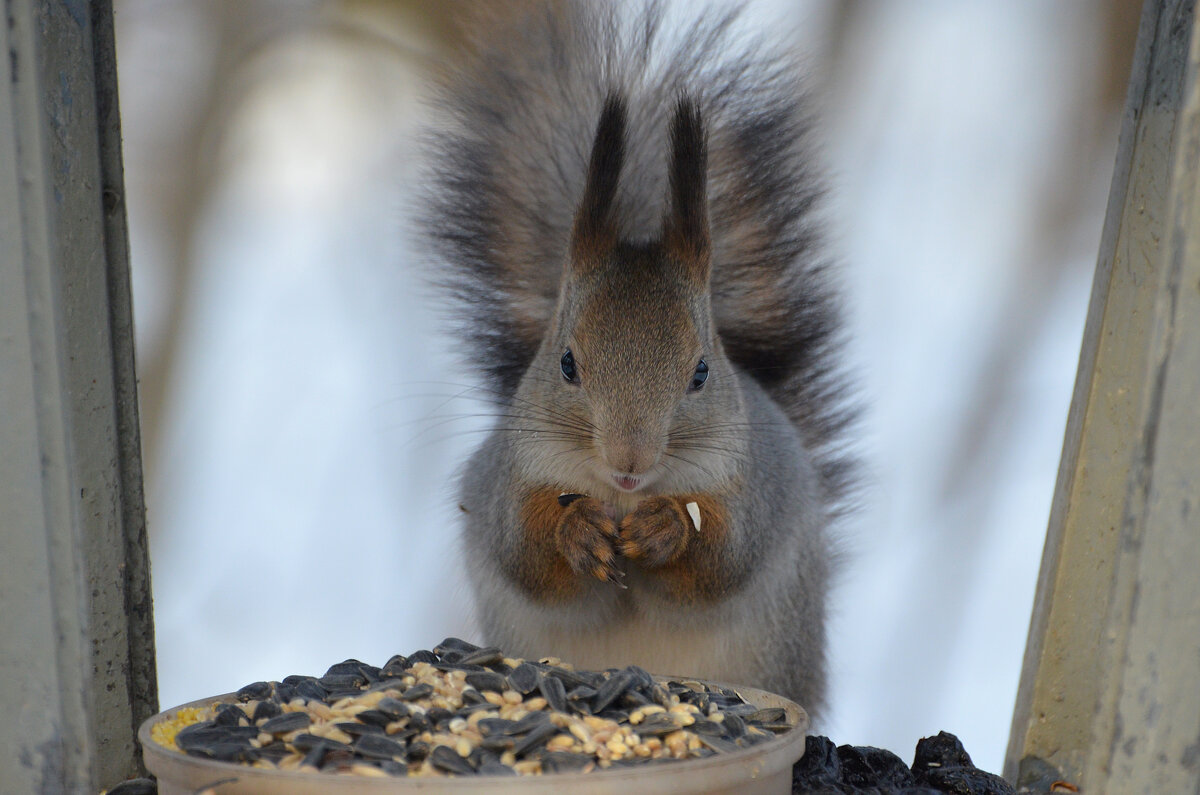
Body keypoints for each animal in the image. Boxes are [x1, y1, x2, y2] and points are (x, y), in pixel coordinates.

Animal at [422, 0, 854, 720]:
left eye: (702, 372)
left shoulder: (756, 486)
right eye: (566, 363)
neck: (620, 496)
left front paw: (665, 529)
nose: (630, 464)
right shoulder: (506, 479)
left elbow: (723, 560)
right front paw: (576, 531)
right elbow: (525, 554)